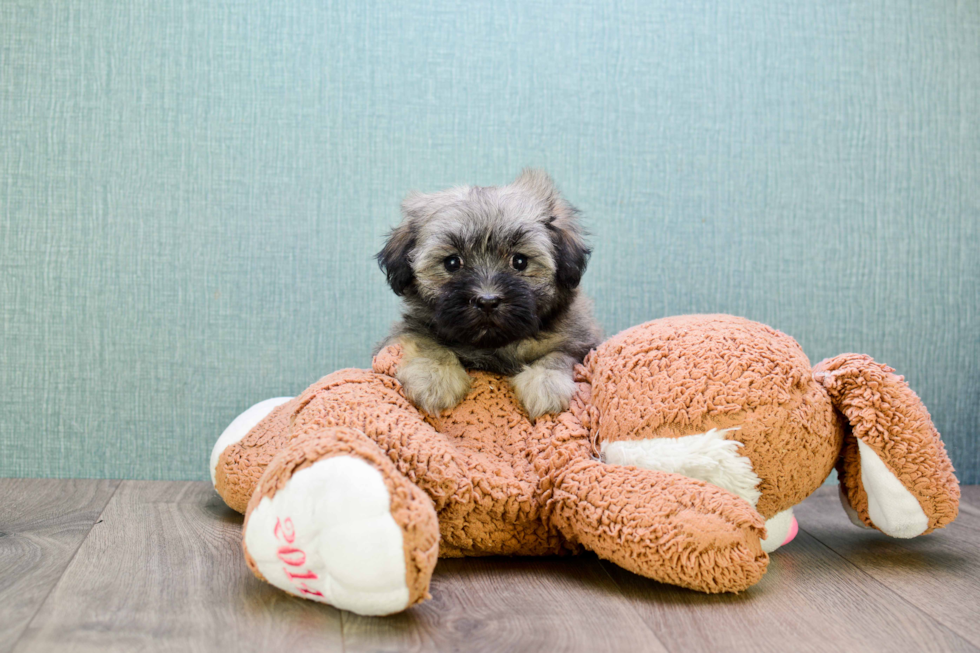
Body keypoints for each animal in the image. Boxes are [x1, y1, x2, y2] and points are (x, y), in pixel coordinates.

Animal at [378, 168, 600, 418]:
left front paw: (545, 382)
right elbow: (425, 340)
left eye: (519, 261)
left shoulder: (580, 341)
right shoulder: (406, 332)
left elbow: (558, 354)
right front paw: (434, 376)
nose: (487, 301)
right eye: (452, 263)